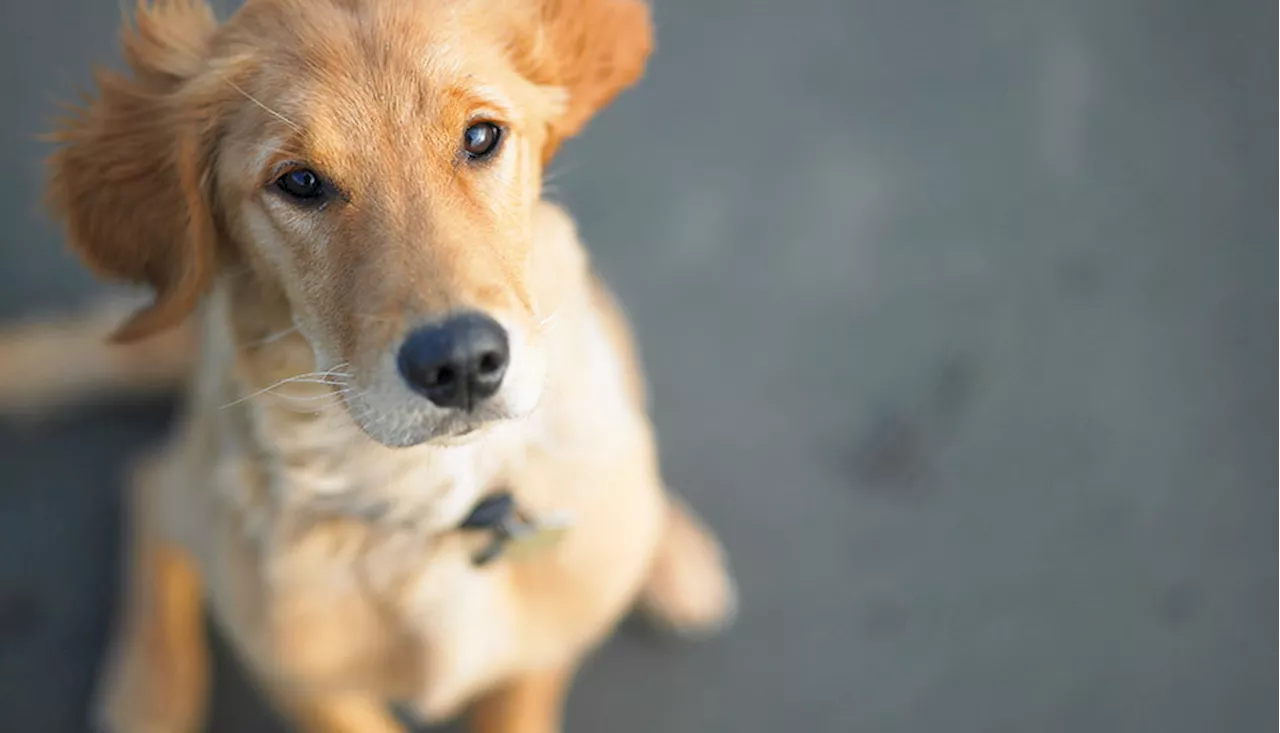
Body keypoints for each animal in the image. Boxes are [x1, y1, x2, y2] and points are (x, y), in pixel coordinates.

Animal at [2, 0, 742, 726]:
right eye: (300, 182)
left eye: (481, 137)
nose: (462, 362)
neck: (433, 498)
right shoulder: (301, 679)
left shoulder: (543, 644)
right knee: (149, 485)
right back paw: (148, 694)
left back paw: (672, 554)